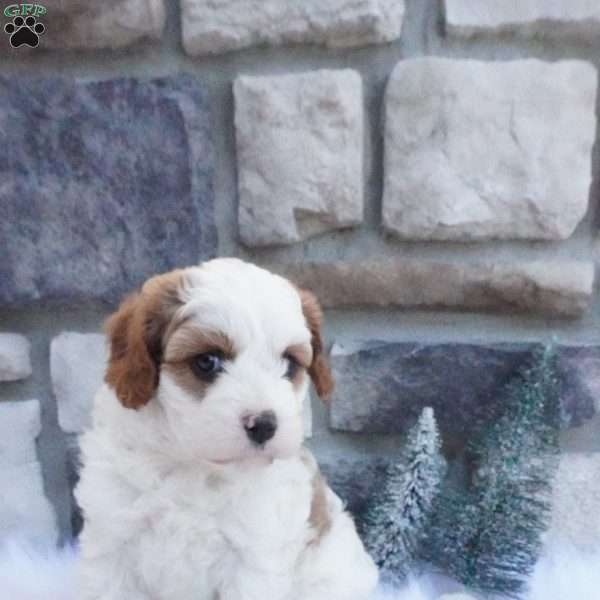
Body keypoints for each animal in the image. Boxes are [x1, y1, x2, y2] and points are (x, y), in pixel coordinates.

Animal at [74, 258, 376, 600]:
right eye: (207, 361)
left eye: (289, 364)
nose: (264, 425)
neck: (190, 461)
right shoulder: (113, 542)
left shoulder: (253, 556)